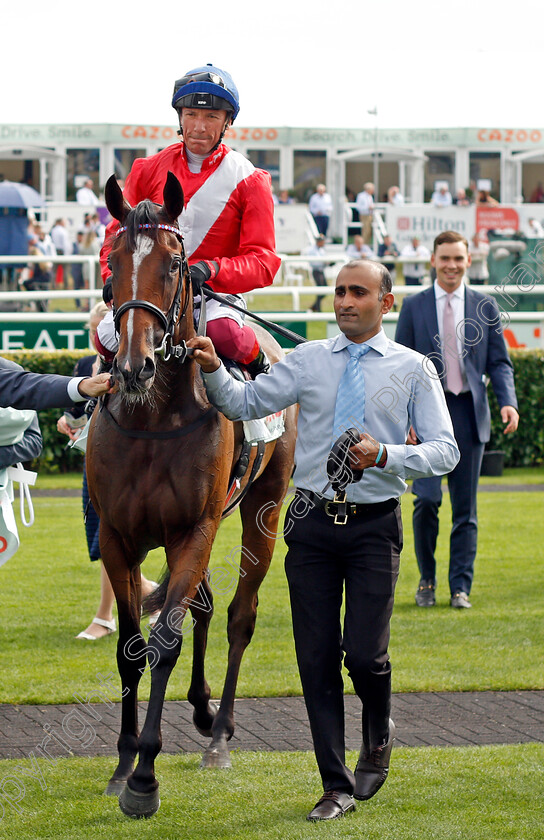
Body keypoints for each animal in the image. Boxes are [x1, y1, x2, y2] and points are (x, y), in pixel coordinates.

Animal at [86, 172, 298, 820]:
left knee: (237, 615)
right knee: (204, 603)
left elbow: (166, 641)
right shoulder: (120, 537)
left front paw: (145, 778)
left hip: (261, 509)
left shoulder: (192, 531)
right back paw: (203, 711)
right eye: (113, 257)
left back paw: (220, 734)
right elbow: (132, 646)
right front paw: (123, 763)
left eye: (177, 262)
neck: (154, 414)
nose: (133, 364)